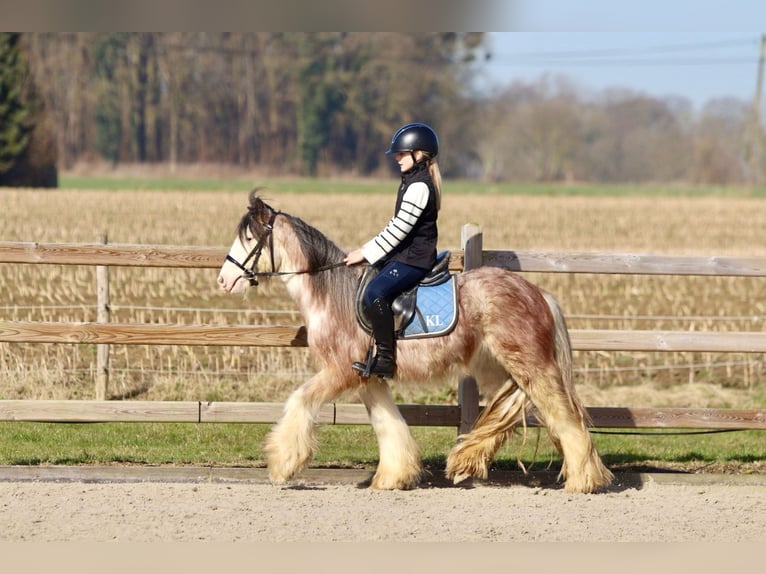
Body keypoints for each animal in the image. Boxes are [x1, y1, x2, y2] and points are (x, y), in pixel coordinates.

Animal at [219, 190, 616, 496]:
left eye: (250, 239)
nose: (224, 280)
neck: (331, 293)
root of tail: (538, 292)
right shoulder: (369, 378)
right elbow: (388, 424)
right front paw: (395, 477)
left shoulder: (339, 372)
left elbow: (299, 401)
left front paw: (282, 463)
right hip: (499, 368)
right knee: (511, 412)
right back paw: (467, 461)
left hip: (532, 366)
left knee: (565, 417)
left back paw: (583, 481)